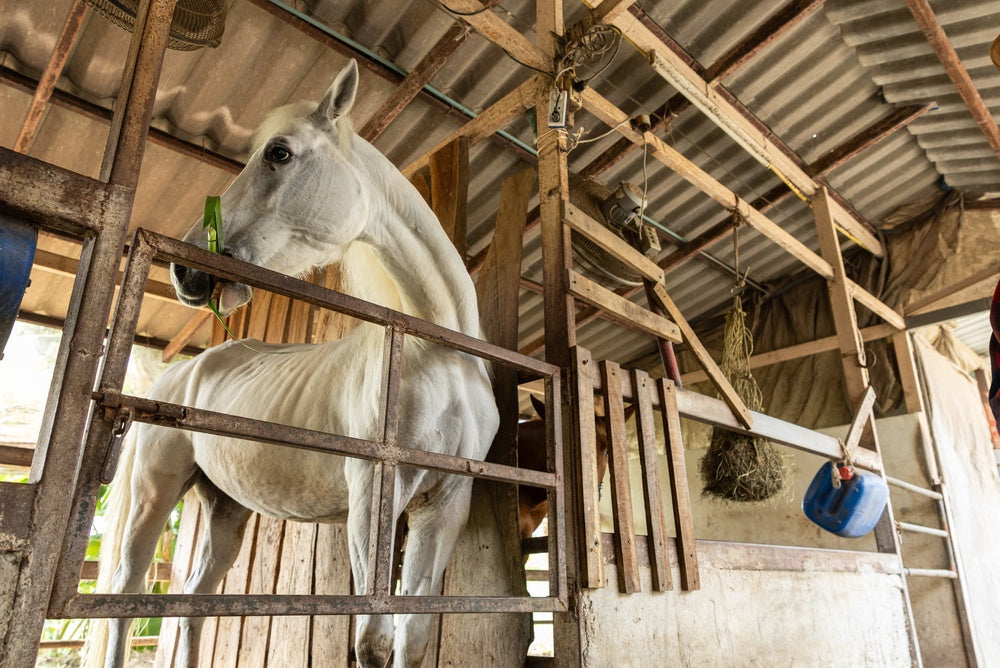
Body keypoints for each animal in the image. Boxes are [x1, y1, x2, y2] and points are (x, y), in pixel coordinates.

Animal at [93, 60, 499, 668]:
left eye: (278, 153)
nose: (186, 271)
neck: (437, 353)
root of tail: (179, 373)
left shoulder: (444, 507)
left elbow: (412, 638)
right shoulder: (372, 500)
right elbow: (373, 643)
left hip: (225, 505)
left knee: (192, 600)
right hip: (155, 490)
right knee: (127, 589)